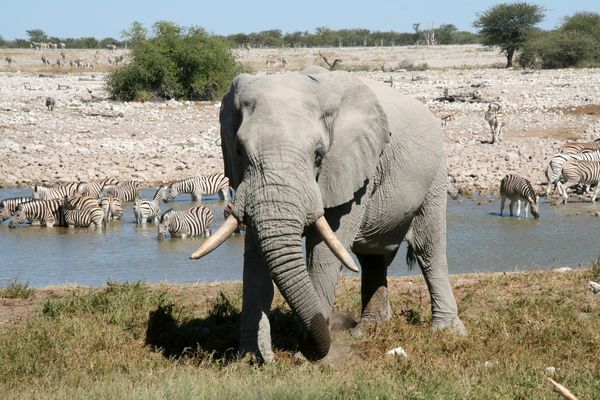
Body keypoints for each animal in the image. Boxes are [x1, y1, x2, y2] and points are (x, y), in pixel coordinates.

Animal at [190, 66, 466, 362]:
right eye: (239, 151)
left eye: (319, 154)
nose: (317, 346)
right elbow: (255, 258)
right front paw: (252, 359)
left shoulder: (350, 168)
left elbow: (324, 253)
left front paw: (306, 358)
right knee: (373, 258)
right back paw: (367, 330)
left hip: (436, 173)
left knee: (428, 248)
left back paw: (447, 331)